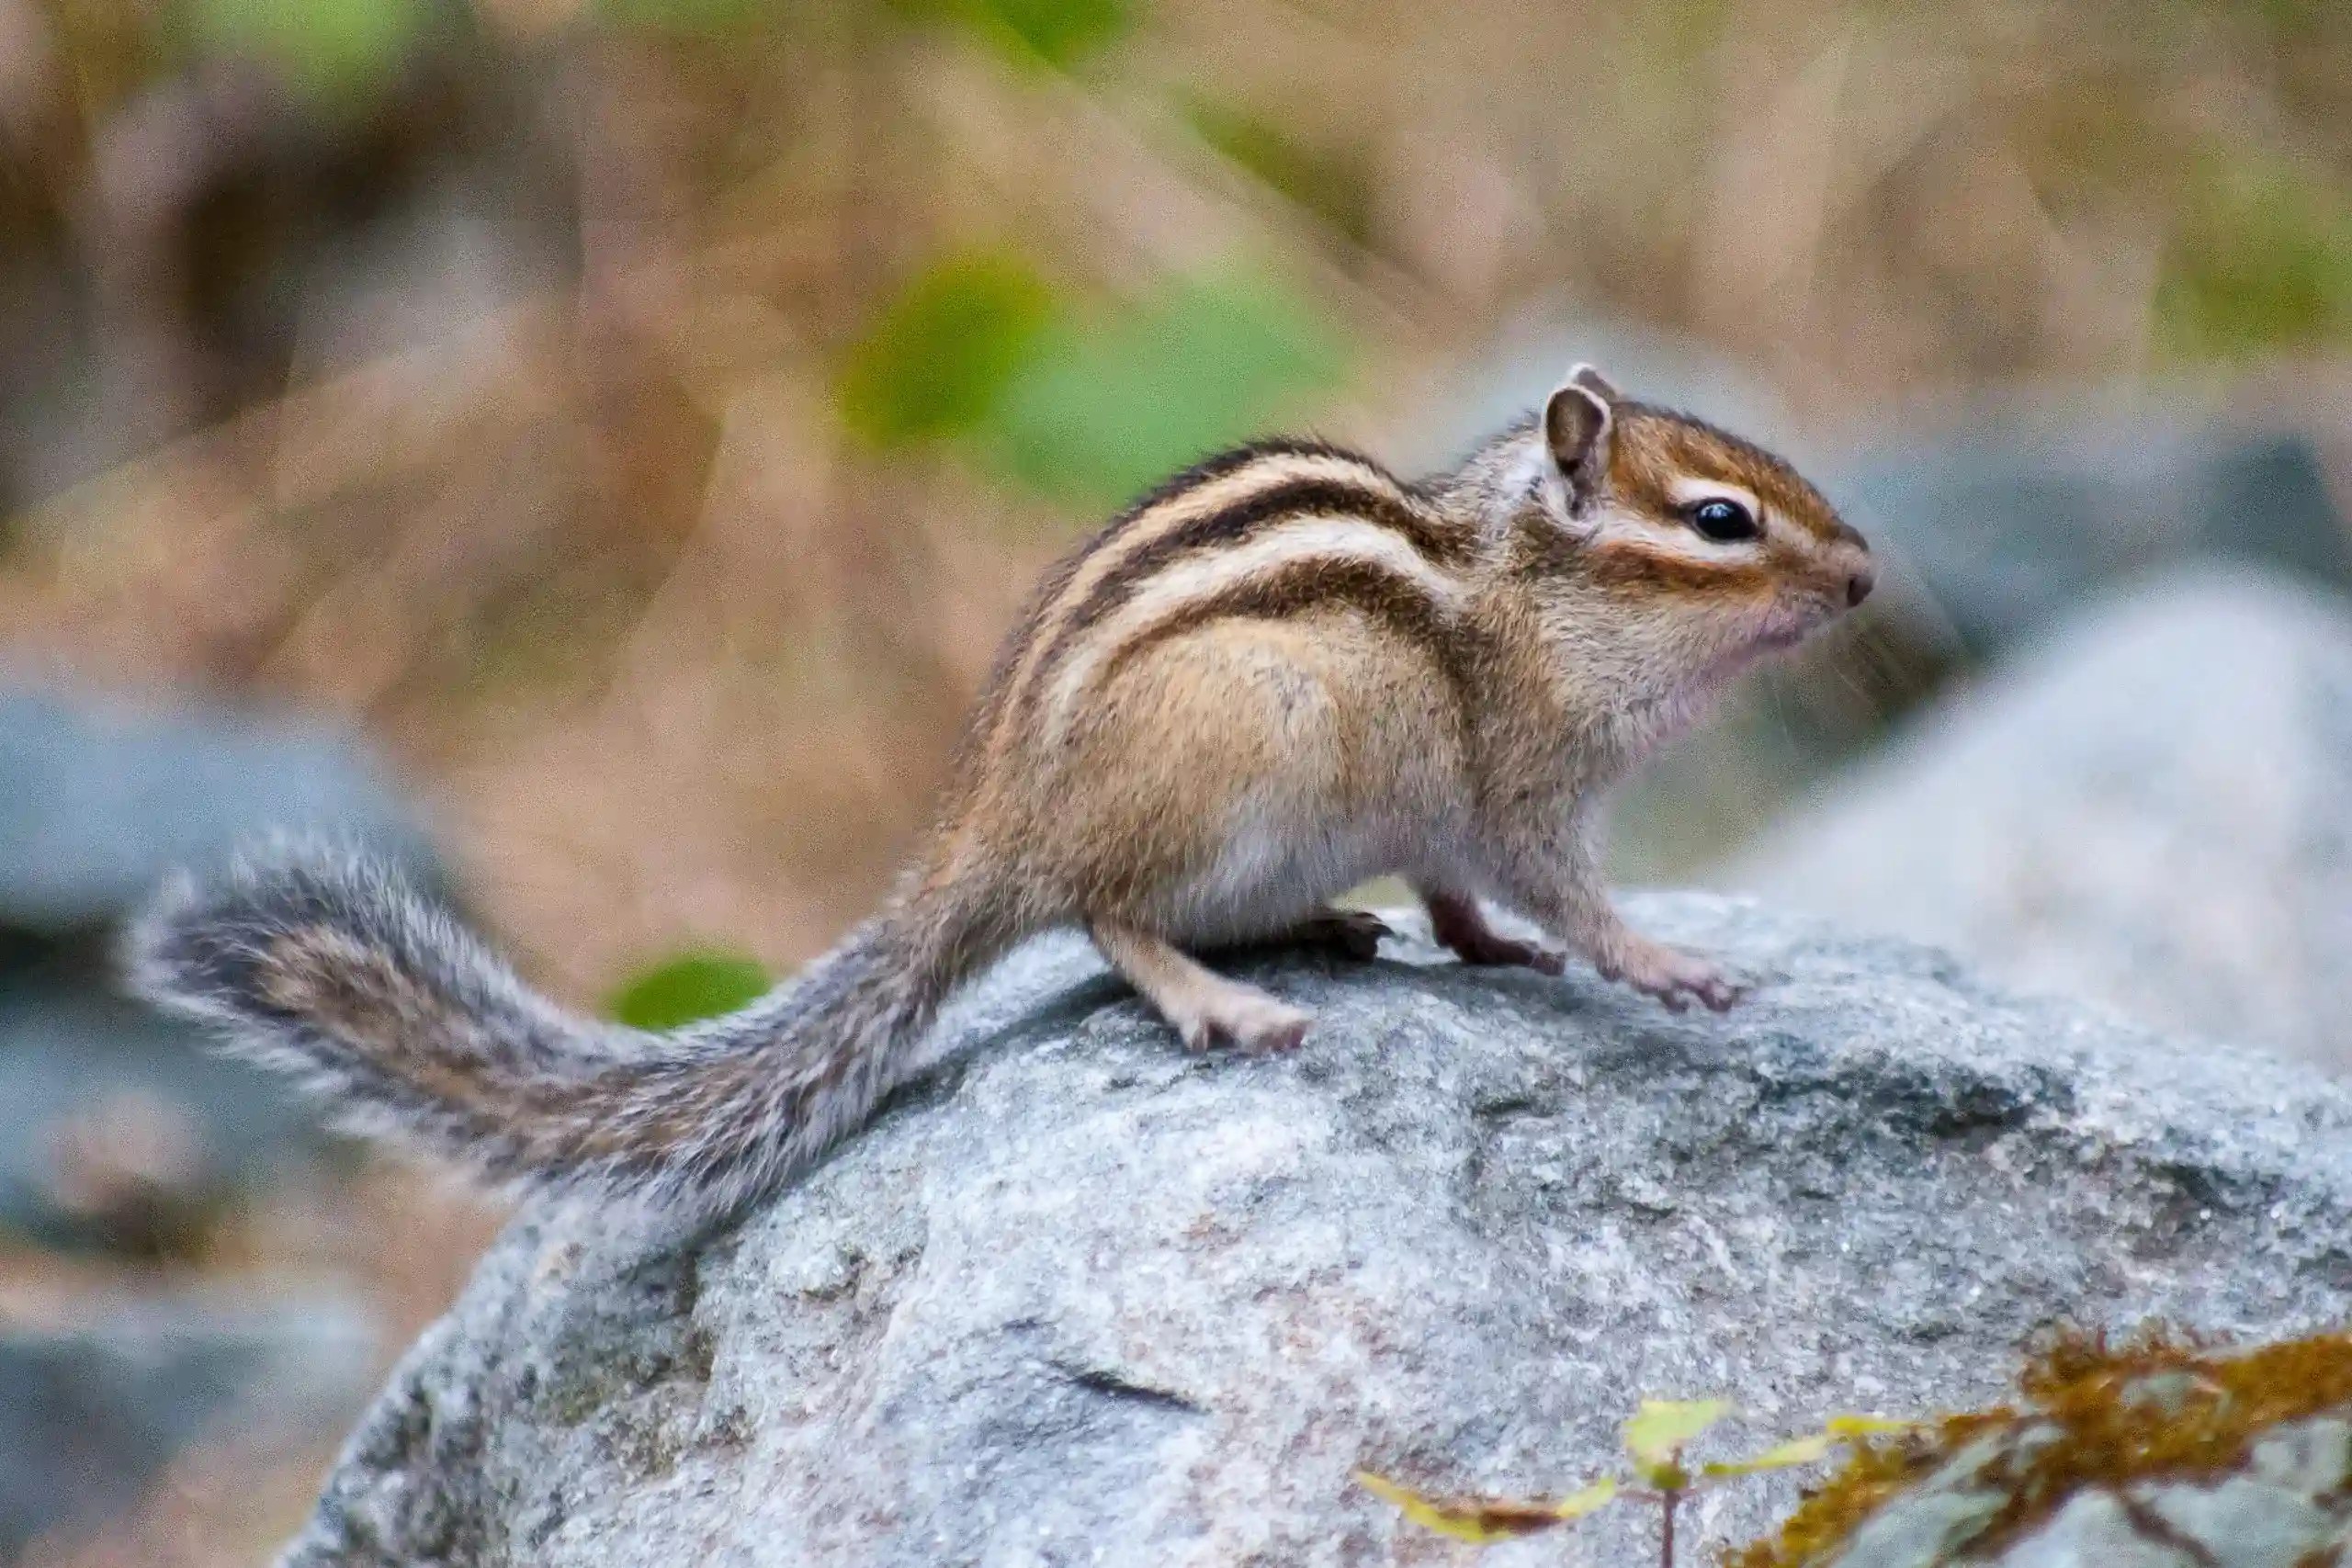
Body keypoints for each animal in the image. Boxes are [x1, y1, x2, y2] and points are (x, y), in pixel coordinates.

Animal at [129, 365, 1873, 1218]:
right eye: (1720, 520)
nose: (1864, 578)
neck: (1518, 588)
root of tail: (985, 834)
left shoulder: (1453, 817)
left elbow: (1463, 898)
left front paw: (1496, 952)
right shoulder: (1515, 787)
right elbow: (1560, 889)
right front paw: (1669, 964)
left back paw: (1314, 928)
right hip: (1240, 757)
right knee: (1104, 919)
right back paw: (1222, 995)